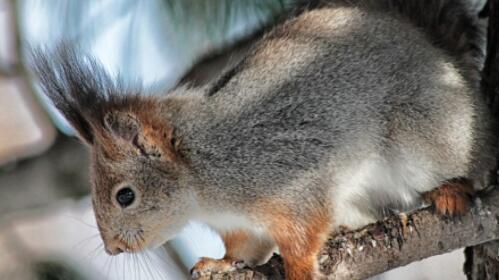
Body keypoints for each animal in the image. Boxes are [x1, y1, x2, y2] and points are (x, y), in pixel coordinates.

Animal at [31, 0, 496, 280]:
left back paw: (450, 190)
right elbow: (244, 249)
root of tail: (445, 60)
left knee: (467, 166)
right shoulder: (238, 225)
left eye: (125, 196)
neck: (202, 178)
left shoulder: (292, 180)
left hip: (427, 138)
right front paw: (219, 263)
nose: (112, 249)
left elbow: (303, 233)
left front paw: (299, 268)